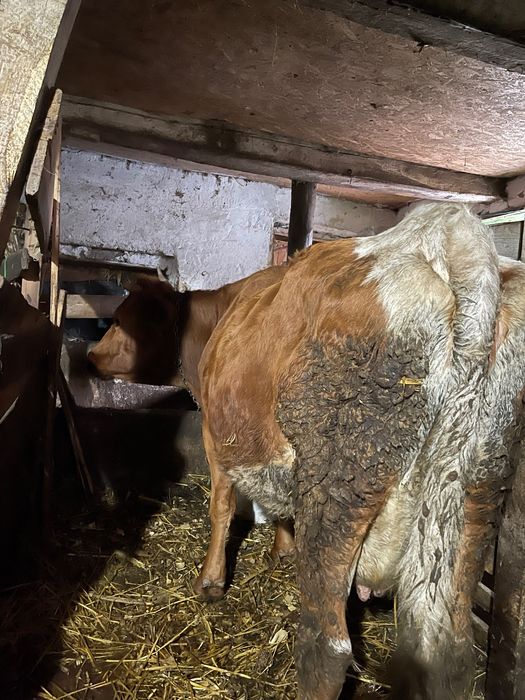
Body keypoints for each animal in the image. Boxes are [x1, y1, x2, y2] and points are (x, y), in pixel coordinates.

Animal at [193, 202, 525, 700]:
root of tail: (449, 233)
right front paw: (280, 550)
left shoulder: (214, 439)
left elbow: (221, 508)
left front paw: (212, 581)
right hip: (476, 489)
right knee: (449, 654)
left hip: (341, 479)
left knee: (325, 648)